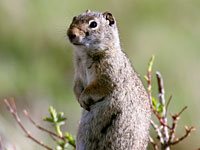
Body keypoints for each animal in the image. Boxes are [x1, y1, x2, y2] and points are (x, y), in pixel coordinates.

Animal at [66, 9, 151, 149]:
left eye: (93, 24)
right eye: (74, 18)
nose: (70, 34)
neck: (85, 55)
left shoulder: (107, 76)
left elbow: (96, 88)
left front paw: (83, 98)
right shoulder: (78, 75)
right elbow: (76, 87)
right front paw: (79, 98)